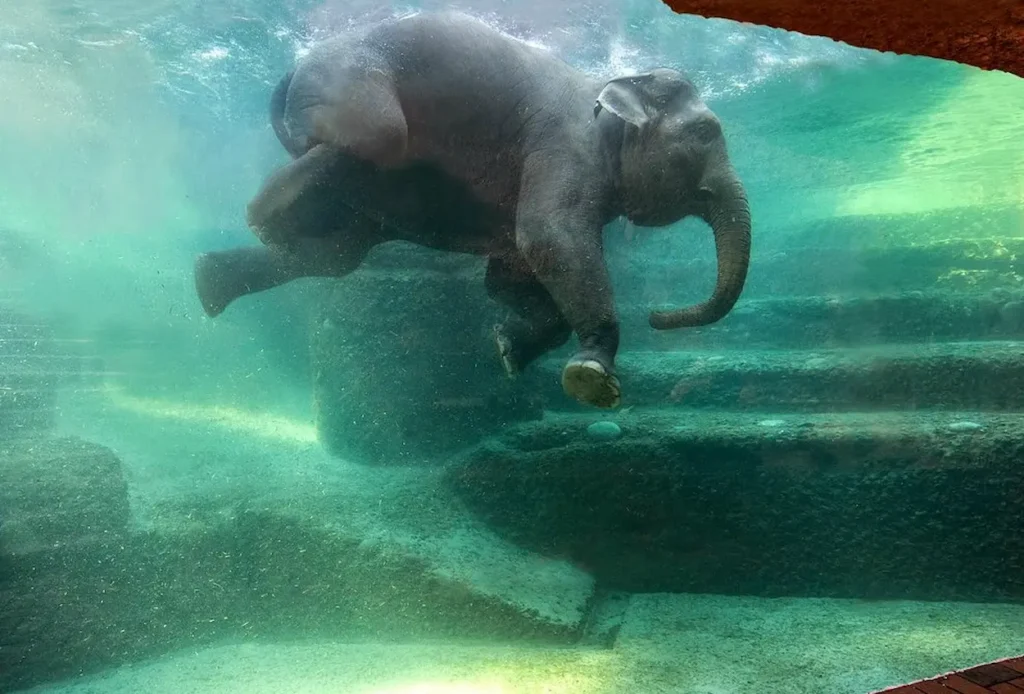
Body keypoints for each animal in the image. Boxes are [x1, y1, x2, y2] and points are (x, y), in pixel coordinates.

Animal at [193, 10, 752, 410]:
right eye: (707, 131)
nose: (658, 317)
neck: (612, 86)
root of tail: (292, 69)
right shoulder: (563, 149)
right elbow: (548, 237)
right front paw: (591, 379)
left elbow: (506, 276)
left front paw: (507, 352)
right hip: (349, 76)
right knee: (377, 139)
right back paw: (261, 214)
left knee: (335, 255)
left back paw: (210, 281)